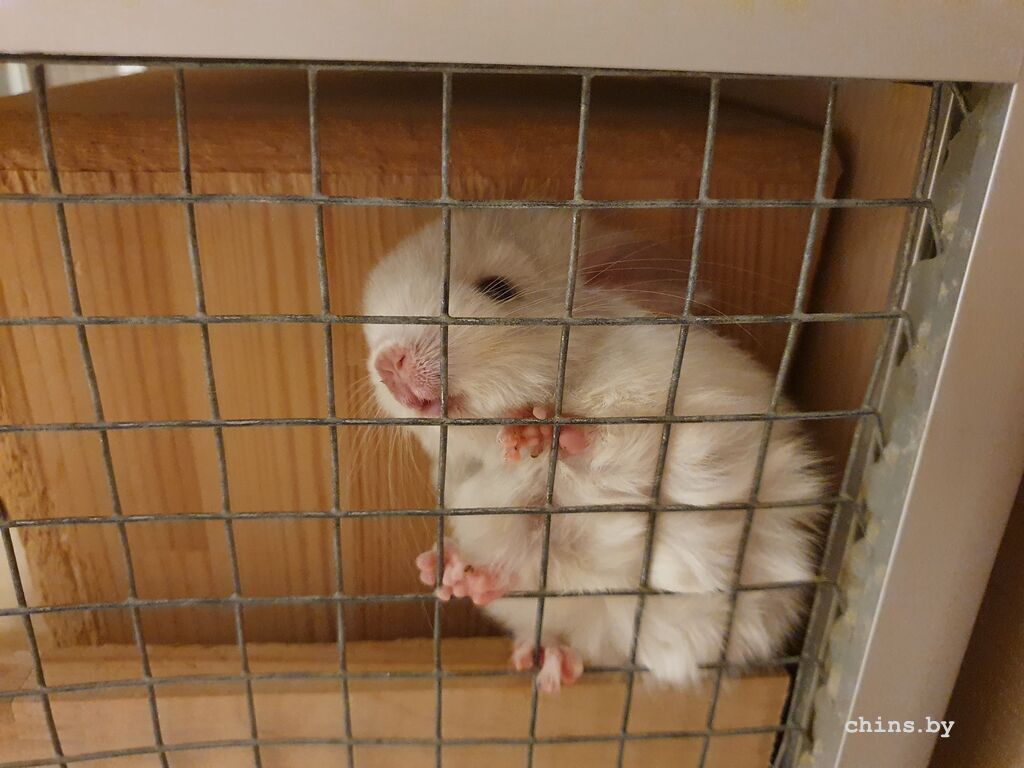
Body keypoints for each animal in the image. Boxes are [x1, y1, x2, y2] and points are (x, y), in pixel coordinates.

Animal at [363, 209, 825, 692]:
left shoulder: (683, 422)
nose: (387, 362)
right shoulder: (487, 501)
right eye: (370, 331)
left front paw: (533, 432)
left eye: (498, 288)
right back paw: (485, 606)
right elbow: (522, 543)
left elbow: (616, 444)